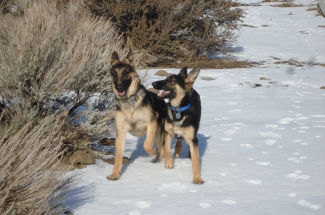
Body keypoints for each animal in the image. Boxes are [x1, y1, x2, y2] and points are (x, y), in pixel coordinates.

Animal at [107, 49, 166, 181]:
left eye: (125, 72)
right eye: (114, 73)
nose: (118, 87)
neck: (129, 101)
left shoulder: (151, 123)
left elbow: (147, 144)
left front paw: (150, 152)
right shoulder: (121, 132)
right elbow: (118, 156)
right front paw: (115, 174)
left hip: (157, 133)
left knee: (161, 148)